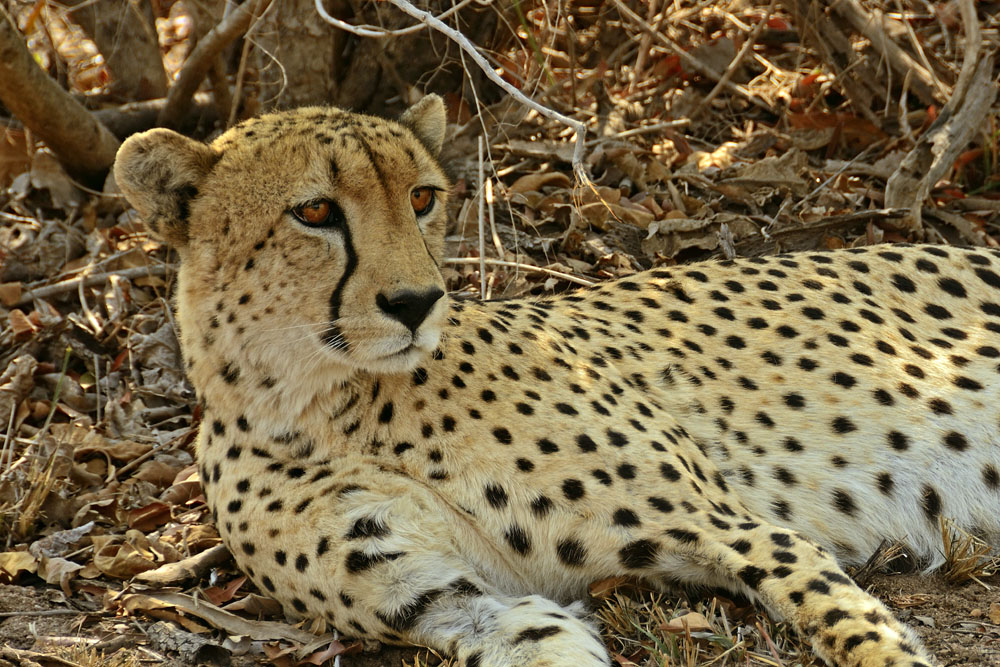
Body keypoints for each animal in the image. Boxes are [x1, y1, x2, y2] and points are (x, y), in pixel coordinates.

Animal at [113, 94, 1000, 667]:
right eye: (315, 212)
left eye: (422, 197)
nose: (417, 301)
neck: (321, 401)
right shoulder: (446, 599)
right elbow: (538, 637)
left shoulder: (731, 525)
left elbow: (849, 621)